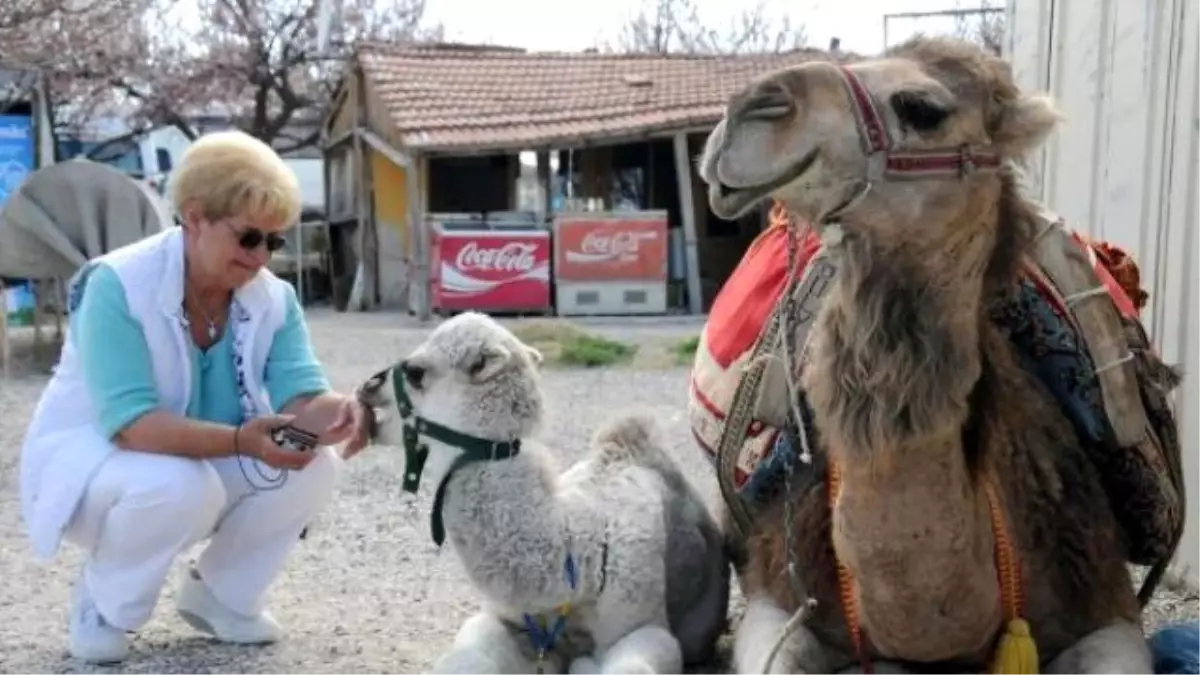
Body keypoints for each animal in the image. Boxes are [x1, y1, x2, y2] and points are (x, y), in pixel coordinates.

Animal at [352, 312, 729, 672]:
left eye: (416, 372)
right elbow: (465, 659)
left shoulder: (642, 624)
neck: (575, 561)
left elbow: (630, 662)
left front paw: (583, 663)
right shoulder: (507, 619)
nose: (367, 387)